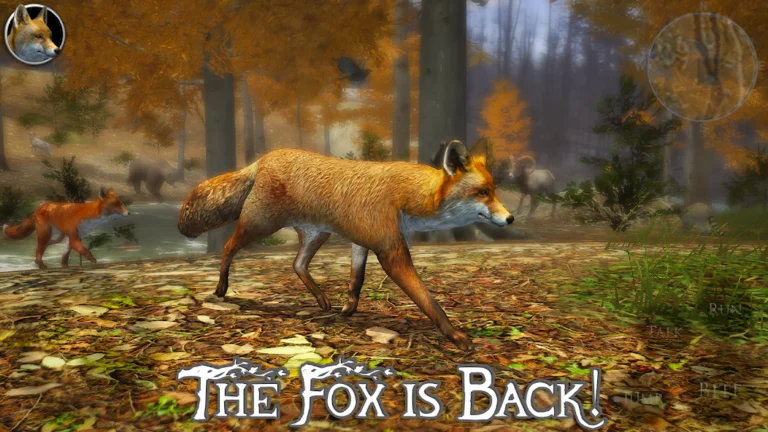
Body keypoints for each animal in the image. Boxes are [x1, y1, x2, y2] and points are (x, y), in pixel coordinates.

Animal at [2, 188, 130, 269]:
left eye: (121, 203)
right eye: (116, 204)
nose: (128, 213)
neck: (89, 217)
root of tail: (39, 208)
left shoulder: (73, 237)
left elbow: (65, 254)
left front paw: (65, 266)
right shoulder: (74, 237)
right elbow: (84, 250)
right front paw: (92, 259)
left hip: (57, 237)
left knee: (42, 246)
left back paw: (37, 262)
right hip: (46, 234)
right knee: (39, 248)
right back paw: (42, 265)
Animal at [178, 139, 514, 351]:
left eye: (494, 190)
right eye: (482, 193)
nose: (510, 218)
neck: (409, 197)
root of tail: (263, 159)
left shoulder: (361, 242)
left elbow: (356, 280)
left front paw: (348, 309)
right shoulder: (390, 251)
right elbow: (428, 302)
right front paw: (455, 335)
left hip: (317, 234)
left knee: (297, 264)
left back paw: (321, 300)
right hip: (260, 225)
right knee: (228, 247)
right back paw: (221, 288)